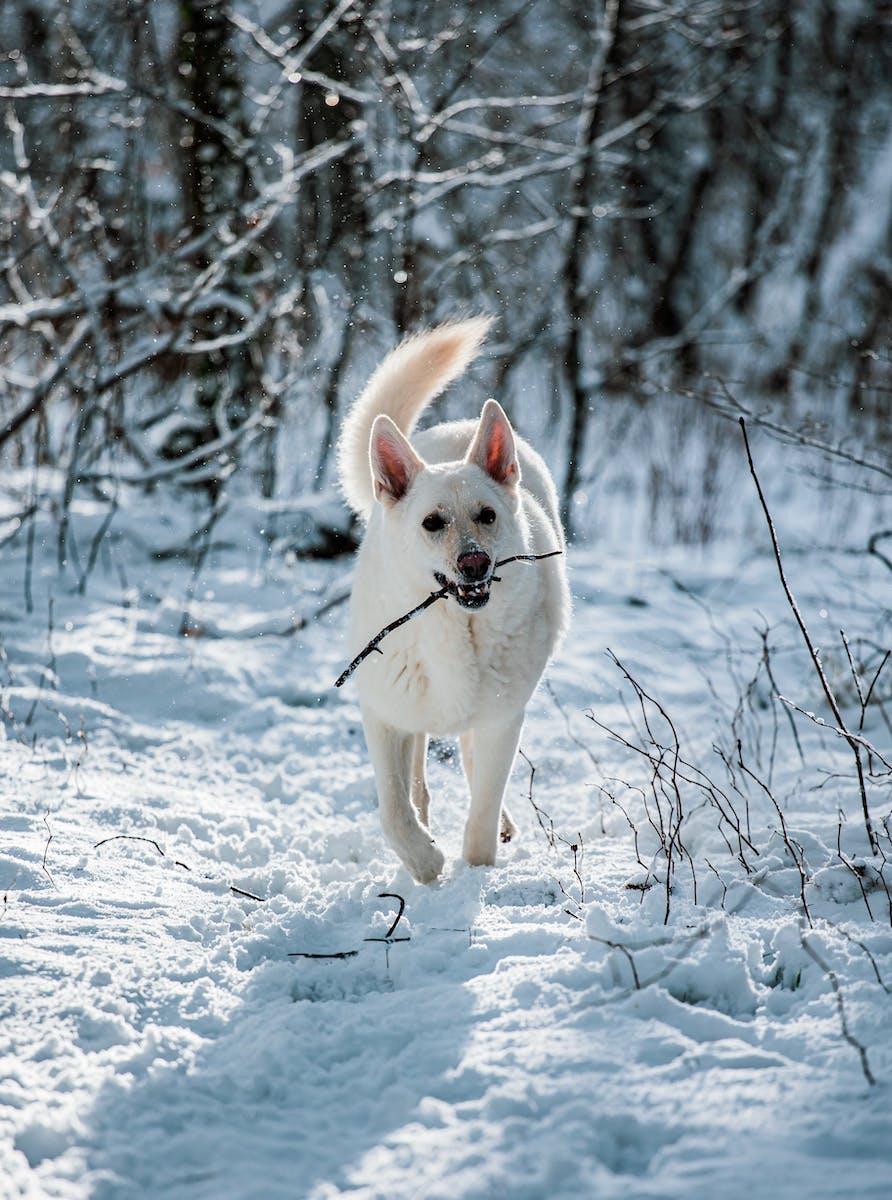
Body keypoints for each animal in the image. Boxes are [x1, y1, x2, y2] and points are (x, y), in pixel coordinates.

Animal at [338, 319, 569, 883]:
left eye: (487, 515)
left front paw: (473, 873)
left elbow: (481, 814)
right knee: (418, 781)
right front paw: (426, 866)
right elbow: (393, 812)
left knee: (472, 768)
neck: (453, 630)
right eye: (432, 523)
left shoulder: (502, 720)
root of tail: (459, 426)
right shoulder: (384, 715)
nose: (475, 564)